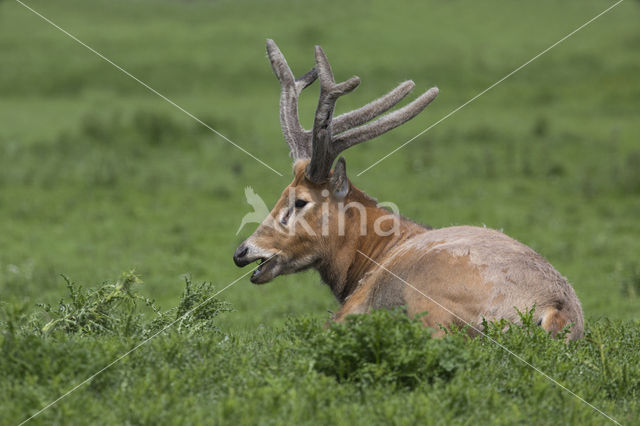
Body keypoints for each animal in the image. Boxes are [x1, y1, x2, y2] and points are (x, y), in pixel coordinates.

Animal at [232, 40, 584, 340]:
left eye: (300, 201)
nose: (242, 252)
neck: (372, 254)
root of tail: (555, 313)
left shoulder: (353, 306)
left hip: (428, 303)